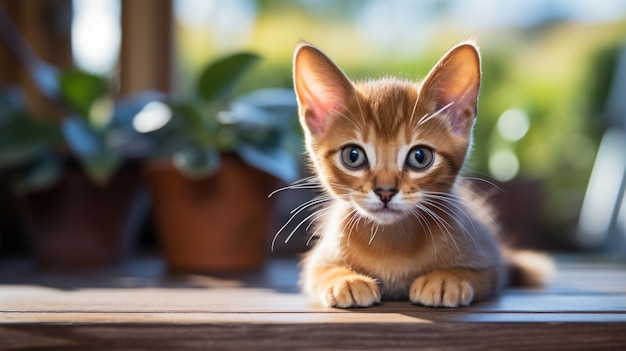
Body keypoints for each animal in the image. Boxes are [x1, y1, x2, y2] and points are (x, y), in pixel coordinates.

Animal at [290, 41, 552, 310]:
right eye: (353, 156)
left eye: (420, 157)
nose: (385, 191)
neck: (392, 242)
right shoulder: (317, 260)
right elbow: (319, 270)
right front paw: (345, 280)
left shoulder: (488, 261)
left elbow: (481, 272)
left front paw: (445, 280)